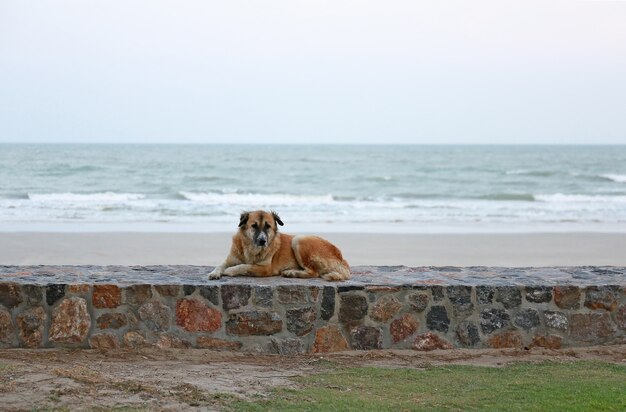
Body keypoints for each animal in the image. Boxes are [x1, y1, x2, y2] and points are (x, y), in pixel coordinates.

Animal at [207, 211, 348, 282]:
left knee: (314, 273)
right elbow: (220, 265)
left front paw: (230, 271)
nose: (262, 241)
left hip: (298, 239)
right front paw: (214, 273)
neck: (250, 249)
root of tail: (341, 258)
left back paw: (292, 273)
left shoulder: (266, 269)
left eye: (268, 226)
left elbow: (244, 266)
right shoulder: (230, 259)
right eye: (254, 226)